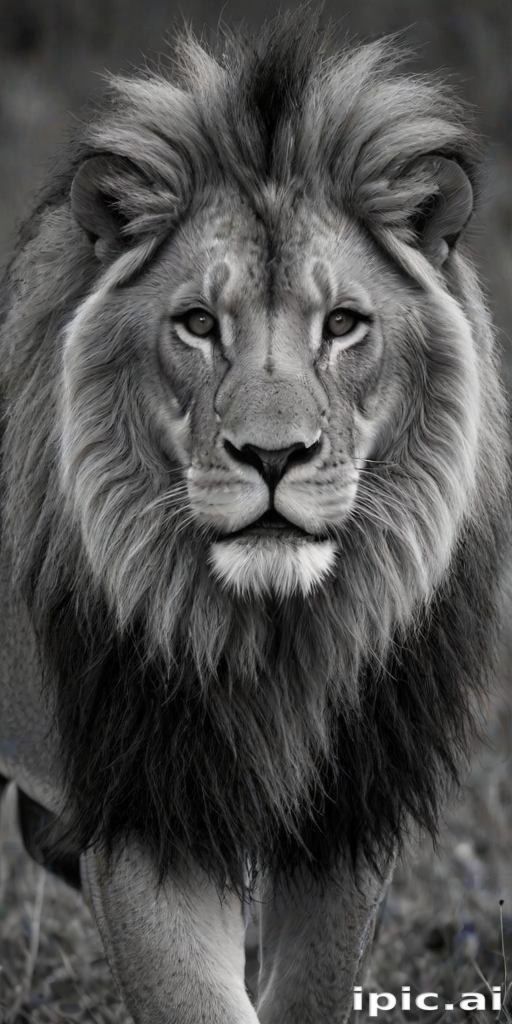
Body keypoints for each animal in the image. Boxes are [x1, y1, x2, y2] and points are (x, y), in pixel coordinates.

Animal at [0, 10, 509, 1023]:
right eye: (199, 324)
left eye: (343, 323)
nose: (273, 457)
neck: (273, 639)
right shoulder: (145, 805)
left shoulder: (348, 808)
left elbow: (312, 985)